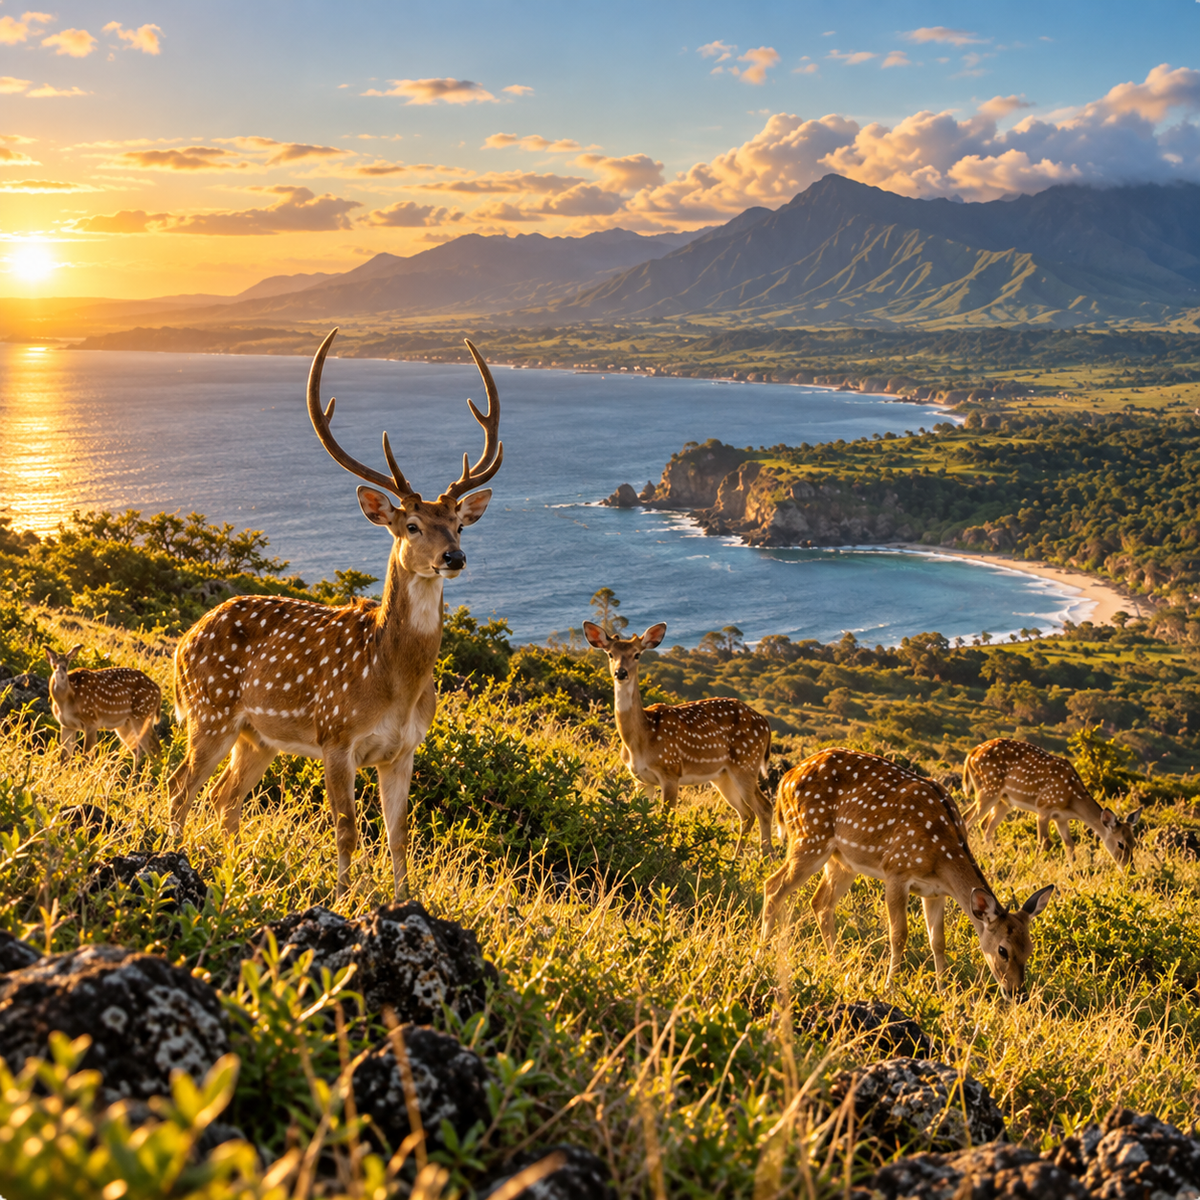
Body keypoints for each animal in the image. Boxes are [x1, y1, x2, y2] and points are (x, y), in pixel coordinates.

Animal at [166, 327, 502, 900]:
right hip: (209, 711)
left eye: (459, 523)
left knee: (225, 796)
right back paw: (171, 854)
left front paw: (403, 901)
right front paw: (344, 897)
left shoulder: (404, 751)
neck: (393, 682)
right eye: (411, 525)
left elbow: (397, 835)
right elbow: (347, 829)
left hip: (257, 736)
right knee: (179, 785)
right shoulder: (335, 736)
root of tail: (185, 641)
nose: (453, 557)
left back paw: (231, 866)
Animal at [582, 620, 774, 856]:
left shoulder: (671, 771)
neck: (641, 739)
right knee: (747, 813)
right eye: (610, 654)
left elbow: (665, 821)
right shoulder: (640, 779)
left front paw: (662, 854)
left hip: (746, 763)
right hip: (722, 775)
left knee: (764, 808)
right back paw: (735, 860)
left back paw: (766, 859)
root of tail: (765, 723)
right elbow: (640, 816)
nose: (621, 672)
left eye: (637, 654)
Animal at [762, 749, 1055, 998]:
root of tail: (785, 779)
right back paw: (764, 947)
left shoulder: (935, 892)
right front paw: (890, 986)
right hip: (809, 836)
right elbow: (899, 934)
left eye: (1030, 949)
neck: (941, 857)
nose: (1017, 993)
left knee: (820, 901)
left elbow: (938, 941)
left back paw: (835, 961)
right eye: (1002, 950)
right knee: (773, 885)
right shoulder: (896, 871)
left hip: (842, 861)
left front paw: (944, 991)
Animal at [962, 737, 1142, 867]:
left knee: (985, 825)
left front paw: (1074, 871)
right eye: (1120, 844)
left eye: (1134, 844)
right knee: (967, 818)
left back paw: (992, 855)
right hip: (988, 788)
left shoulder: (1061, 818)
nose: (1129, 869)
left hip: (1004, 800)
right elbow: (1044, 843)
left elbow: (1070, 845)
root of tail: (972, 753)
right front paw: (1036, 866)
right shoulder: (1044, 807)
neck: (1071, 801)